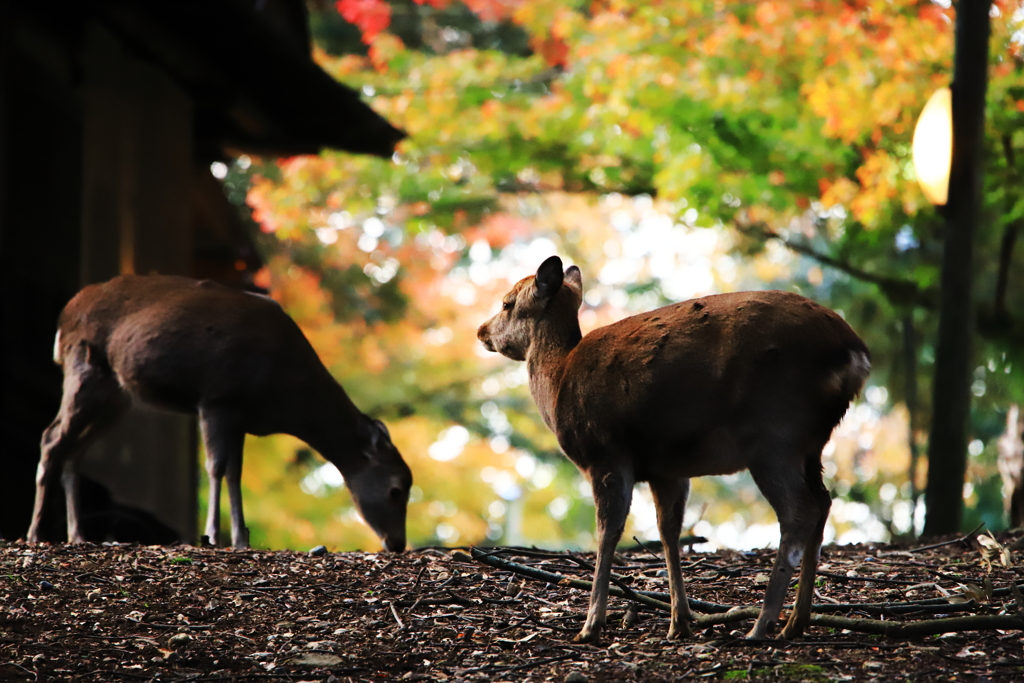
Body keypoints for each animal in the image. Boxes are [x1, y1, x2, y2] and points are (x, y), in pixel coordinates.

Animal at [28, 274, 411, 552]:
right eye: (396, 489)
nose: (397, 543)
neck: (284, 393)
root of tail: (65, 315)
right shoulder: (217, 398)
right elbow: (216, 466)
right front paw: (213, 534)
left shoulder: (240, 415)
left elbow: (234, 472)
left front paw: (241, 538)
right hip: (84, 369)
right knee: (51, 437)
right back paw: (35, 534)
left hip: (117, 395)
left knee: (74, 450)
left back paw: (77, 535)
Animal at [475, 258, 868, 647]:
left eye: (507, 302)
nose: (481, 331)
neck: (558, 380)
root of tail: (855, 354)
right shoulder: (668, 470)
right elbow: (669, 532)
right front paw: (680, 622)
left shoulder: (606, 453)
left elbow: (608, 531)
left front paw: (591, 625)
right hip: (812, 444)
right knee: (823, 502)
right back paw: (795, 622)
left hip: (773, 429)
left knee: (799, 510)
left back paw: (761, 625)